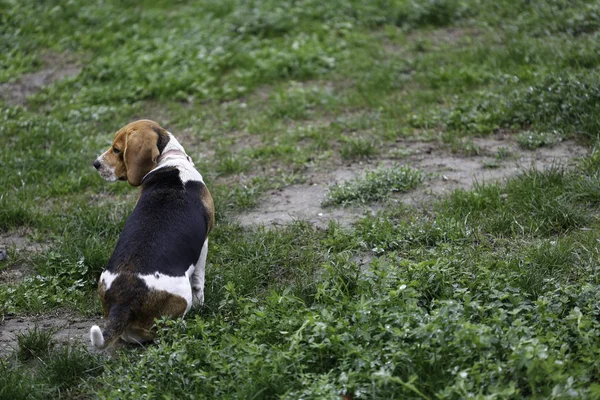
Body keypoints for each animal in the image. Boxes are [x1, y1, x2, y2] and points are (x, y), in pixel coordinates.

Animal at [90, 118, 214, 346]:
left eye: (116, 149)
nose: (96, 164)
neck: (169, 162)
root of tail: (122, 302)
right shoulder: (204, 243)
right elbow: (199, 280)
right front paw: (201, 304)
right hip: (182, 294)